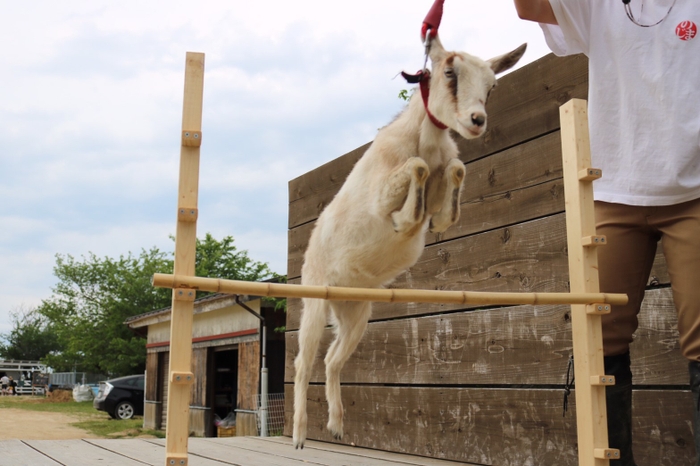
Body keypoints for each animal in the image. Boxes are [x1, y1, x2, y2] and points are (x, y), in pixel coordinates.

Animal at [292, 34, 528, 450]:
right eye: (449, 72)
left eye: (492, 85)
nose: (477, 120)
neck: (422, 140)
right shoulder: (380, 197)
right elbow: (413, 174)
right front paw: (405, 218)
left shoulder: (444, 192)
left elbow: (455, 173)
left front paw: (421, 215)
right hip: (315, 298)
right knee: (303, 362)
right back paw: (300, 435)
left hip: (356, 312)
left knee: (333, 359)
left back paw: (336, 425)